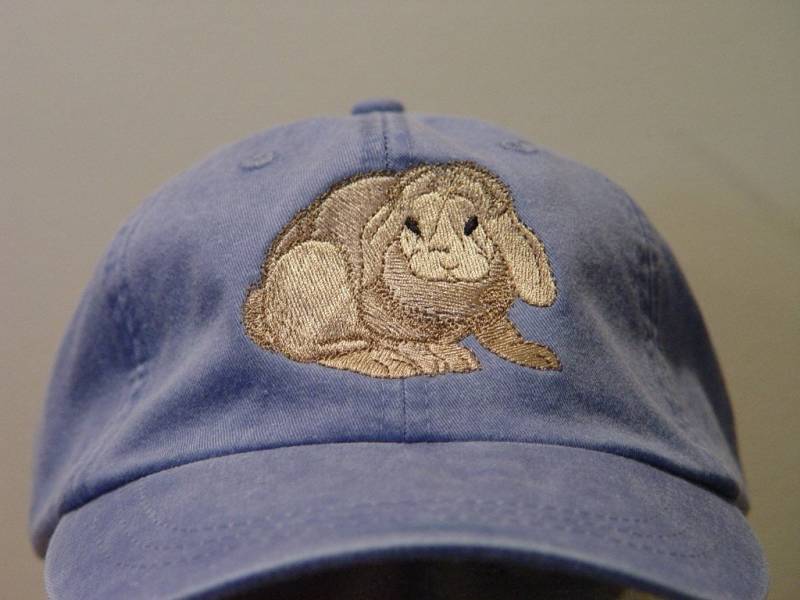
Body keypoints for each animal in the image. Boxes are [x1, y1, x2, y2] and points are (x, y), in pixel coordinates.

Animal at [243, 162, 560, 378]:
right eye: (412, 224)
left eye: (472, 223)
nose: (443, 257)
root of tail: (260, 306)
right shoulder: (375, 318)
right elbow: (403, 341)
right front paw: (446, 358)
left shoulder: (491, 317)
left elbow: (503, 335)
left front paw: (539, 356)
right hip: (317, 262)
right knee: (319, 350)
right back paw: (390, 364)